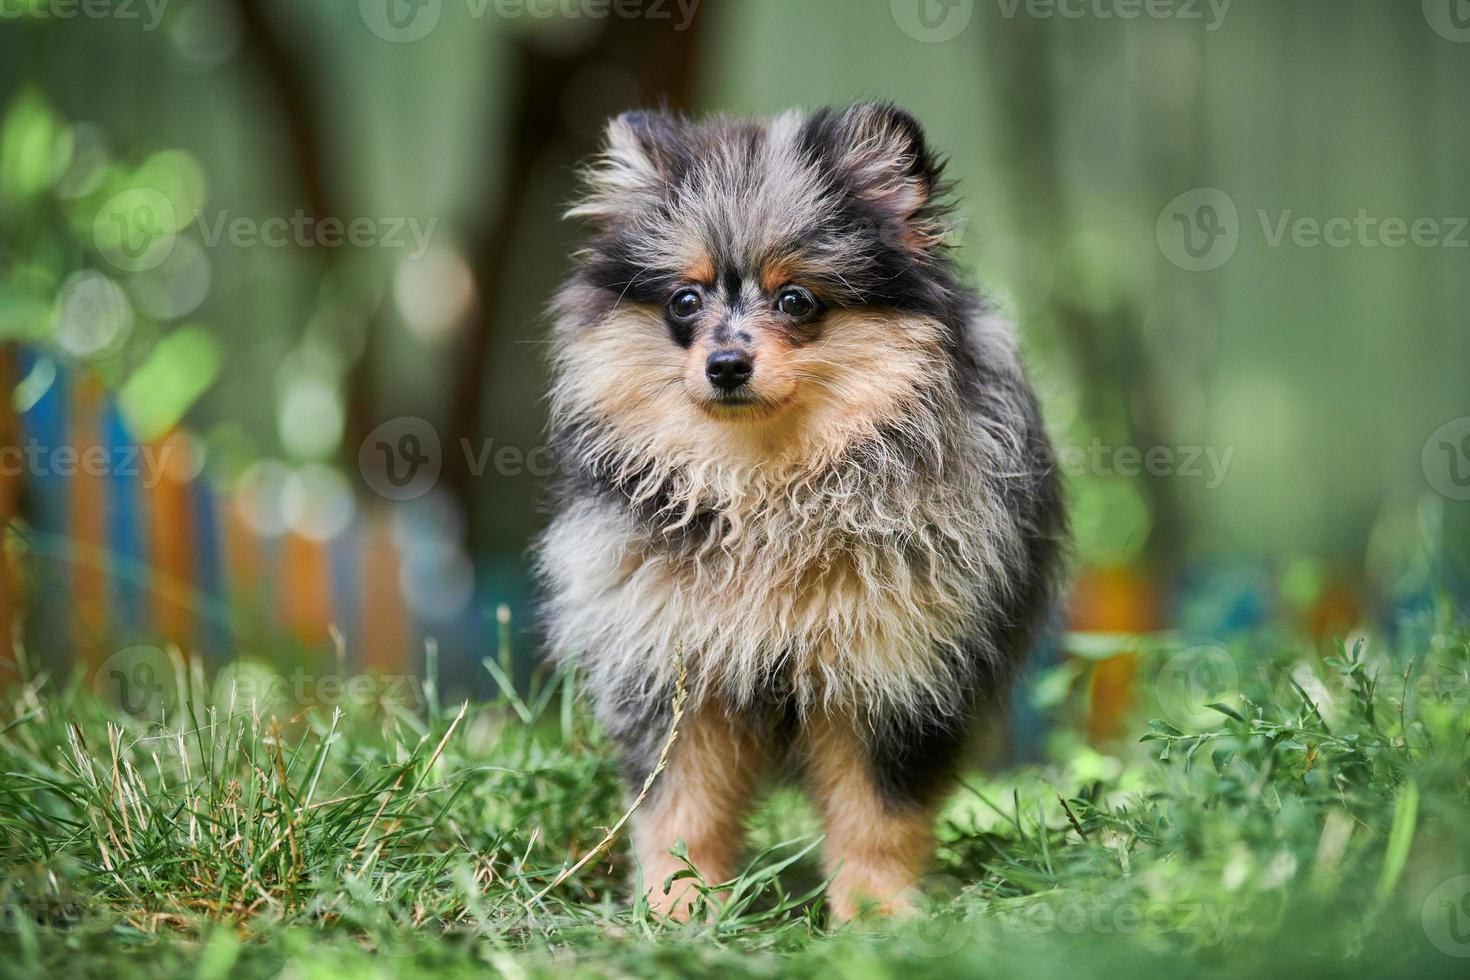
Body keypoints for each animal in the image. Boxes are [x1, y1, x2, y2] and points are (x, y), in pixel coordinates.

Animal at [535, 103, 1064, 922]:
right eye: (685, 301)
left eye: (795, 300)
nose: (726, 363)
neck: (766, 486)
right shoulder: (677, 672)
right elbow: (681, 813)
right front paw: (675, 912)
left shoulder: (890, 674)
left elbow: (876, 818)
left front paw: (875, 919)